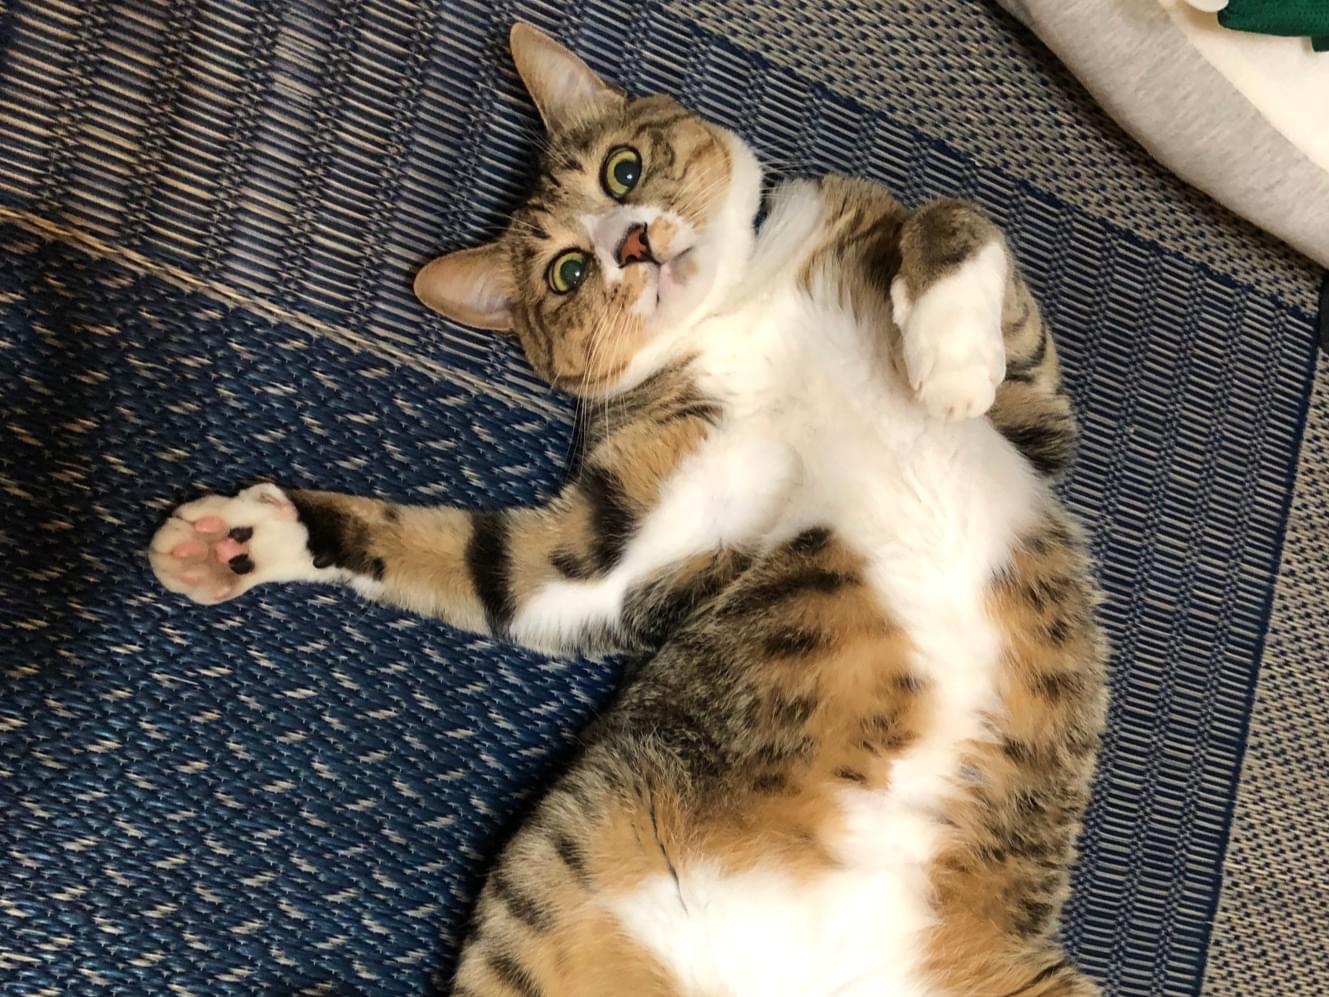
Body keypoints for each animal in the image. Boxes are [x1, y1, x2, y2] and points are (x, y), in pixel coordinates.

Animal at [148, 22, 1107, 997]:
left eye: (621, 171)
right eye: (569, 272)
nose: (635, 244)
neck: (745, 309)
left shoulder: (1033, 420)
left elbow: (954, 216)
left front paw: (946, 358)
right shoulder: (628, 543)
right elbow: (491, 562)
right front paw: (245, 540)